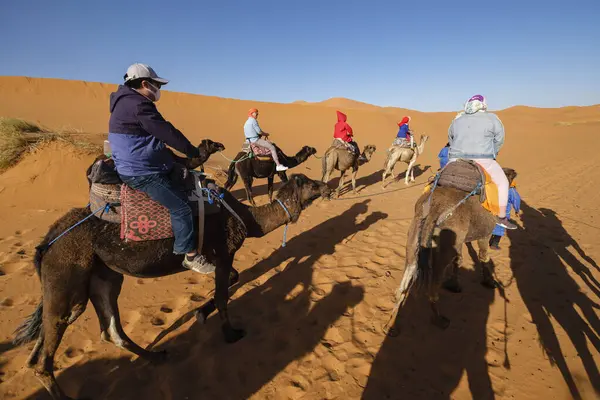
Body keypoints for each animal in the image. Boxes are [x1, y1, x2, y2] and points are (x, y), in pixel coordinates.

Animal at [14, 170, 330, 400]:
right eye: (310, 183)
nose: (327, 187)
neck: (246, 219)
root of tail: (47, 241)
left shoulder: (216, 257)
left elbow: (232, 280)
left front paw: (201, 313)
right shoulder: (224, 251)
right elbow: (224, 293)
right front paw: (230, 333)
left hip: (104, 277)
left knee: (109, 330)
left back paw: (156, 356)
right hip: (67, 278)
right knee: (48, 352)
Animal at [384, 167, 516, 336]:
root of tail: (432, 209)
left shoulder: (458, 241)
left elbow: (458, 260)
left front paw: (454, 285)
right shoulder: (484, 233)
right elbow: (483, 256)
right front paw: (489, 282)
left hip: (413, 242)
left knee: (403, 286)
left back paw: (390, 326)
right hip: (442, 249)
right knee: (432, 289)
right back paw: (440, 320)